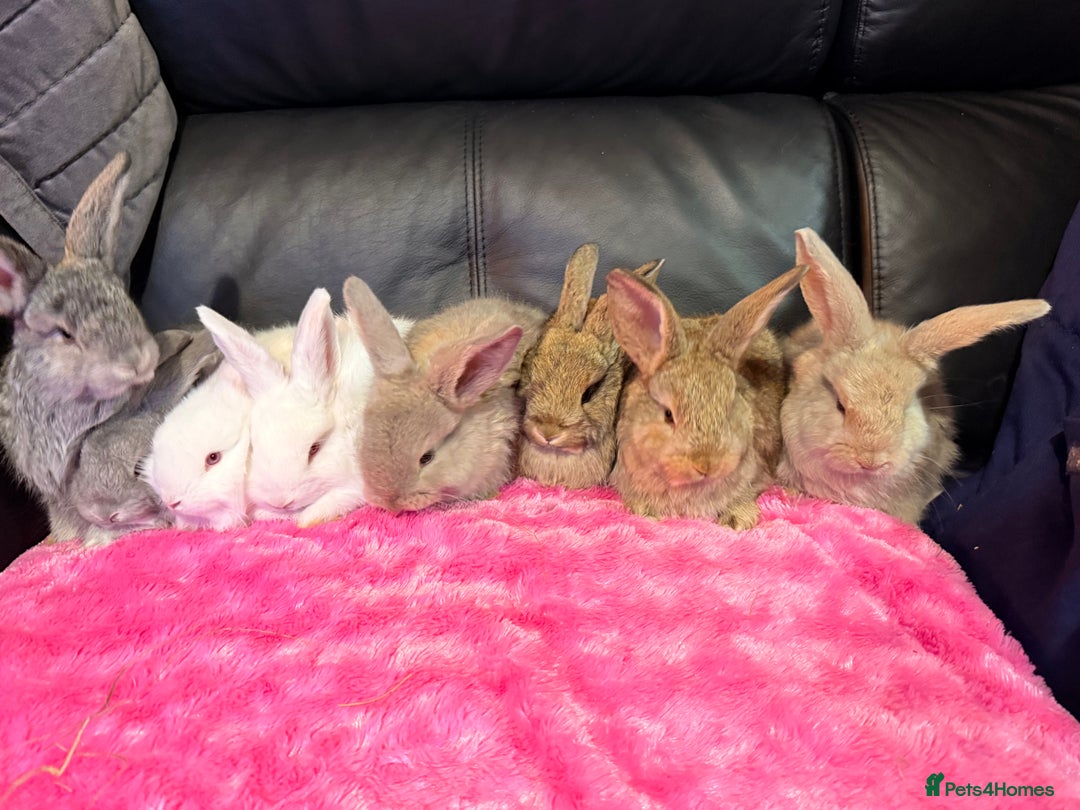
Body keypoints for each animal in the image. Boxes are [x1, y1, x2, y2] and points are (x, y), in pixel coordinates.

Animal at [198, 287, 413, 526]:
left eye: (314, 449)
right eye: (254, 446)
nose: (280, 501)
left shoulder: (360, 481)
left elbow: (337, 499)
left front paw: (307, 518)